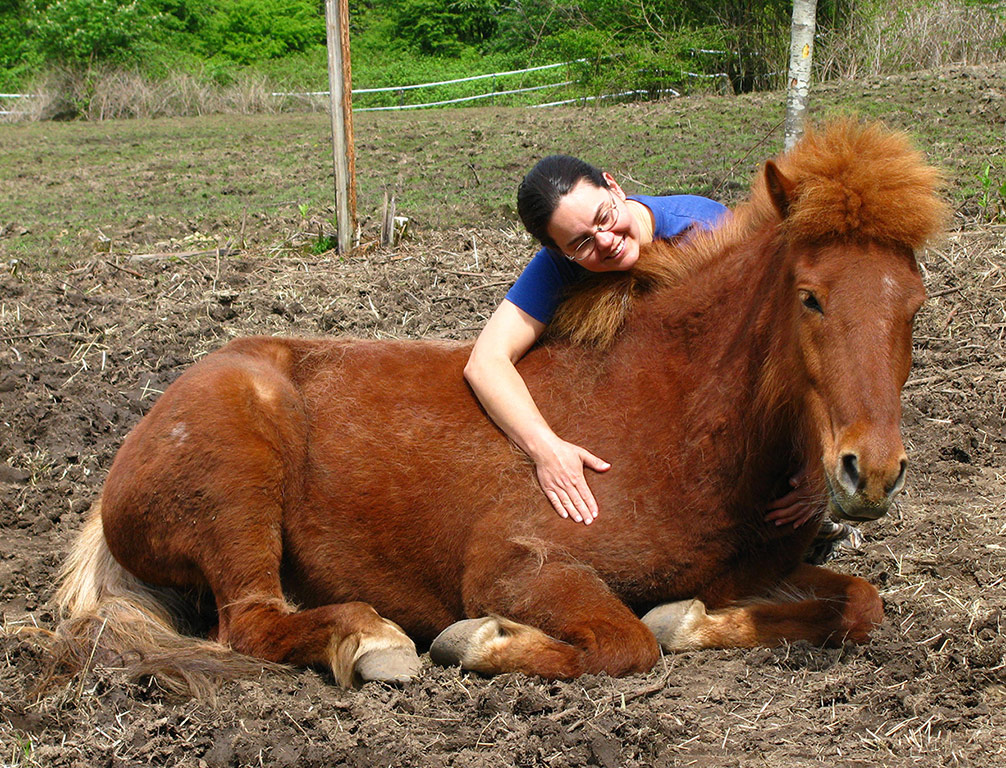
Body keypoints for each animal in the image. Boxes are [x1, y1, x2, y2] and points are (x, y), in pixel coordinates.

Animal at [51, 121, 945, 696]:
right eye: (811, 297)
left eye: (915, 302)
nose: (871, 473)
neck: (678, 420)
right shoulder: (510, 563)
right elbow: (624, 642)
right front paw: (480, 640)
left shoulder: (758, 574)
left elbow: (860, 605)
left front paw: (687, 617)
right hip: (240, 488)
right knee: (251, 623)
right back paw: (374, 641)